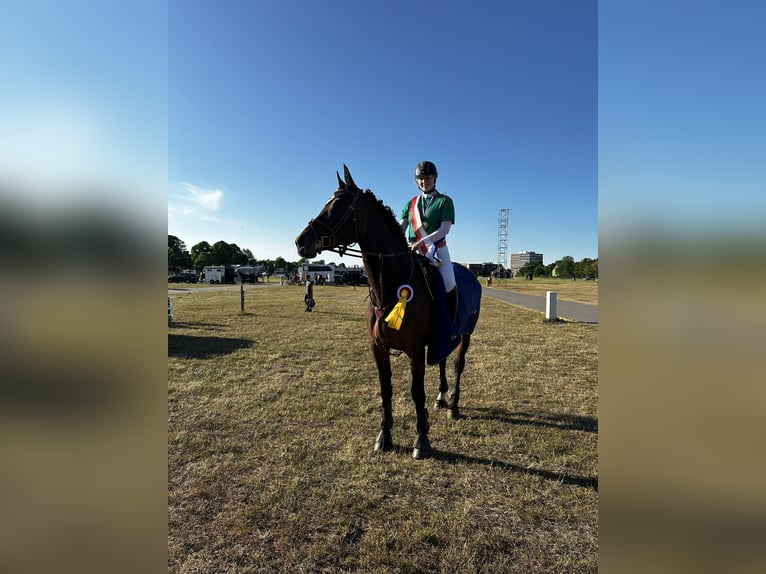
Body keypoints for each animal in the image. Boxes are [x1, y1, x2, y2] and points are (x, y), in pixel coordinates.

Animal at [294, 168, 480, 464]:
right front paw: (385, 437)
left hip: (464, 333)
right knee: (441, 360)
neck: (390, 287)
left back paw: (452, 405)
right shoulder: (378, 348)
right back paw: (441, 397)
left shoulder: (415, 349)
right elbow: (386, 390)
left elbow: (416, 392)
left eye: (337, 207)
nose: (301, 242)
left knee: (458, 364)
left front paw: (421, 439)